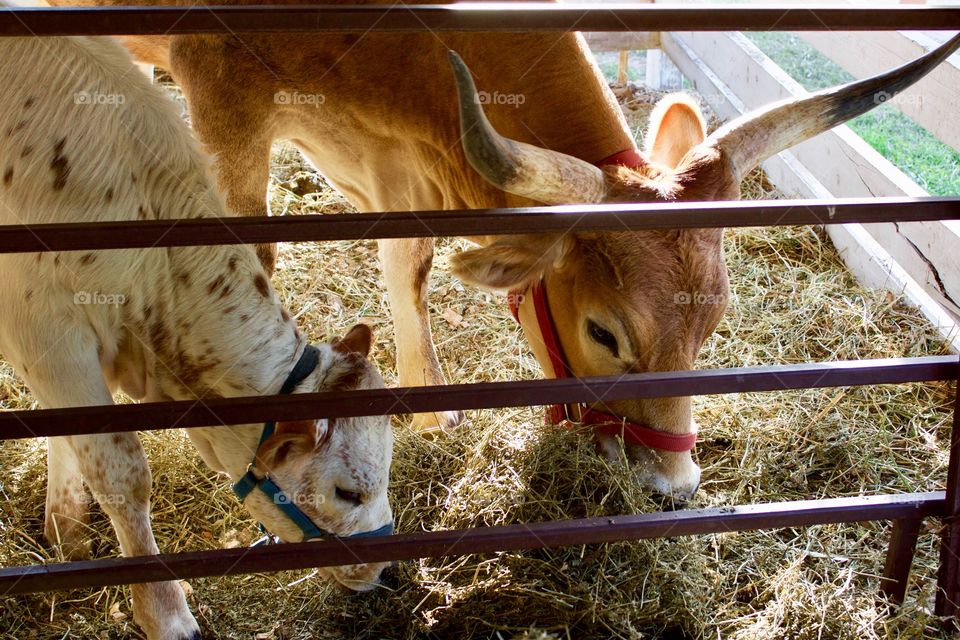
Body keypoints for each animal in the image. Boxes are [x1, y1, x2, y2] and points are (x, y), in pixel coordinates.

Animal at [50, 0, 960, 500]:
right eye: (604, 333)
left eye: (713, 325)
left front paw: (430, 409)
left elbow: (405, 267)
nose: (672, 490)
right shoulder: (223, 92)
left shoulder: (394, 153)